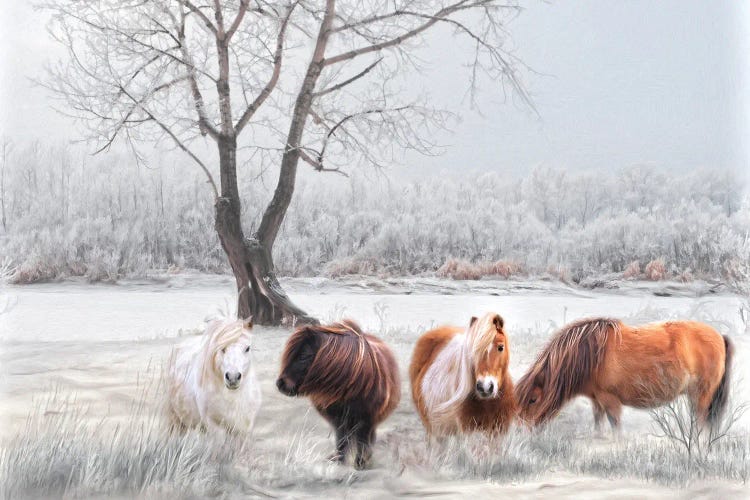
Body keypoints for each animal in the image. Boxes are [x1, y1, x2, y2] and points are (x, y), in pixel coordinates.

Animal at [276, 320, 402, 468]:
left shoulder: (366, 420)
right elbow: (341, 440)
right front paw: (339, 461)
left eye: (303, 356)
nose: (280, 384)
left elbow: (362, 442)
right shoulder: (339, 420)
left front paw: (361, 464)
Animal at [516, 318, 736, 432]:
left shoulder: (610, 400)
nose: (520, 430)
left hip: (702, 395)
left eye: (533, 399)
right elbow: (598, 423)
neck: (592, 356)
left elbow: (615, 426)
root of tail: (719, 336)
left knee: (702, 421)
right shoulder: (597, 400)